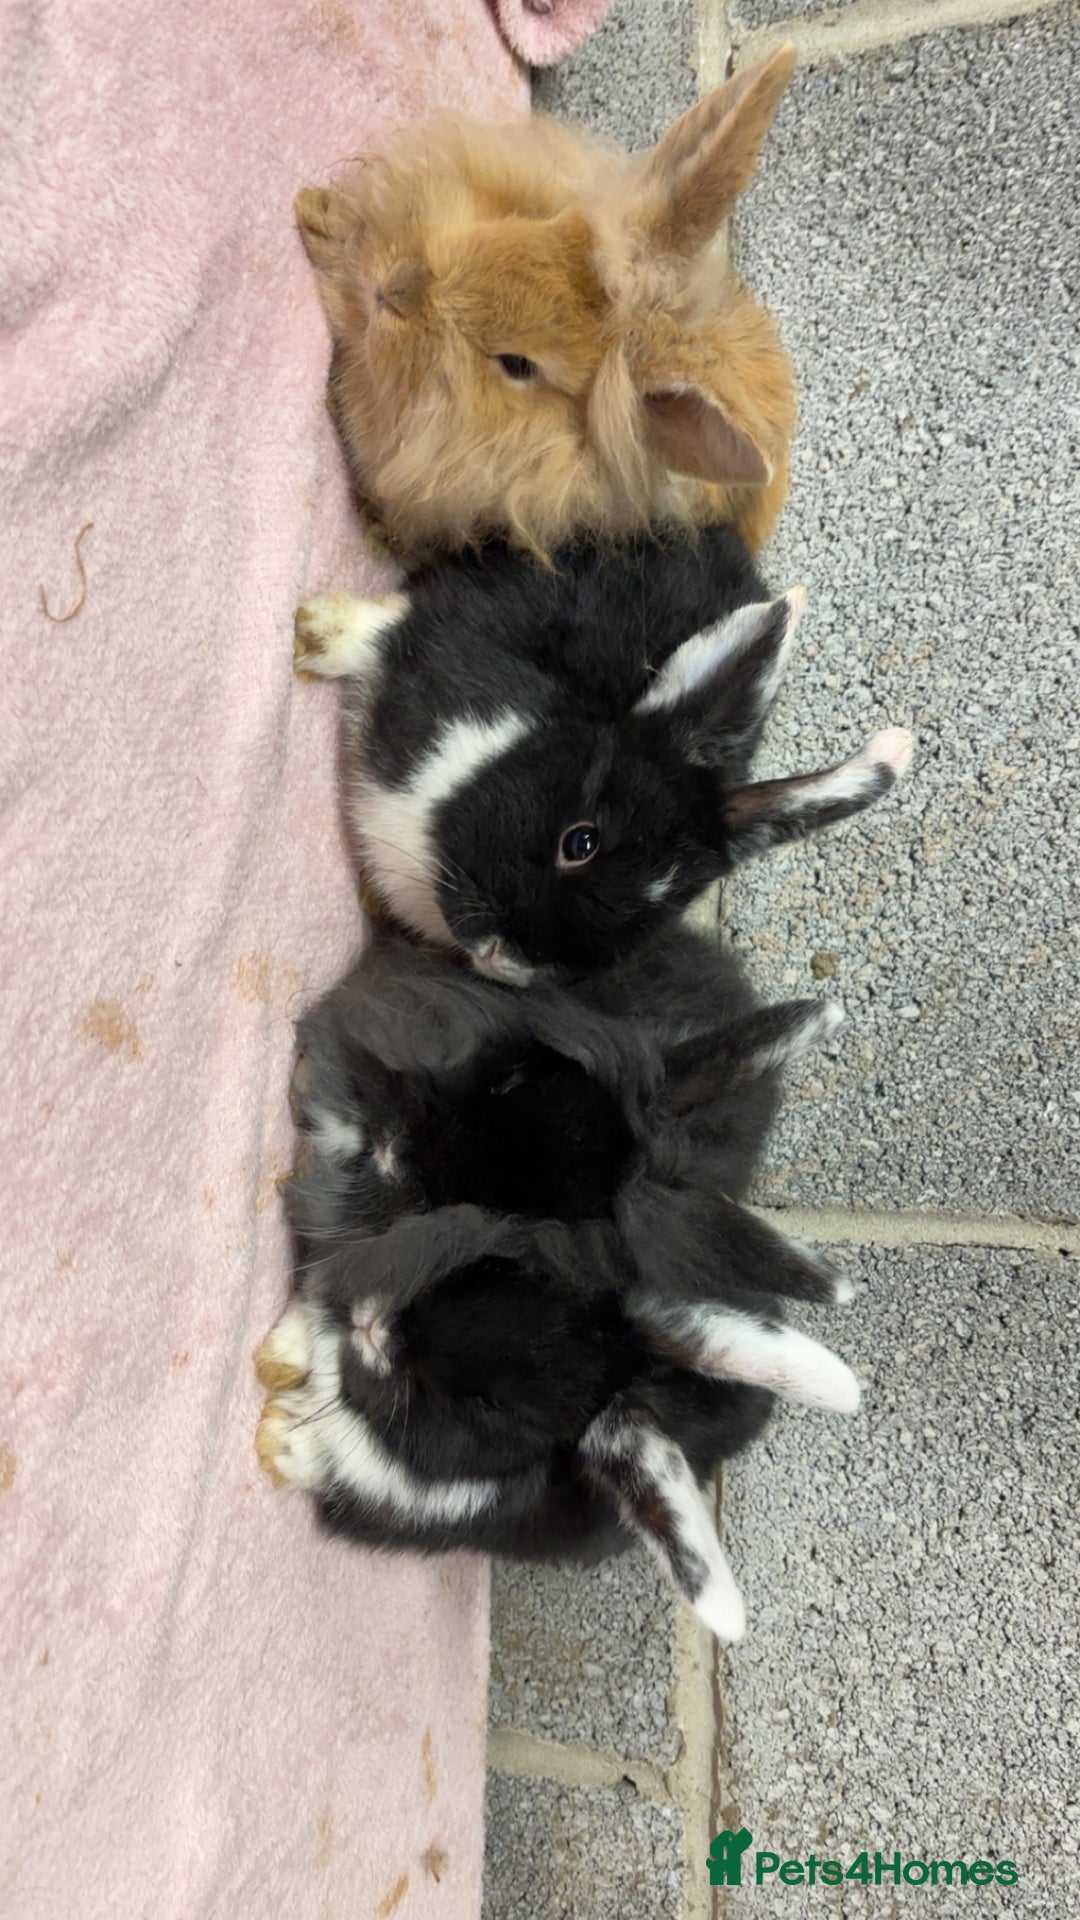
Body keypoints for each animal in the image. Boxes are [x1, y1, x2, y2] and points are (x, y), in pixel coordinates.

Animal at [292, 523, 913, 983]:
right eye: (581, 841)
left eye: (659, 913)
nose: (508, 959)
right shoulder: (453, 618)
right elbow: (382, 629)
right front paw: (313, 635)